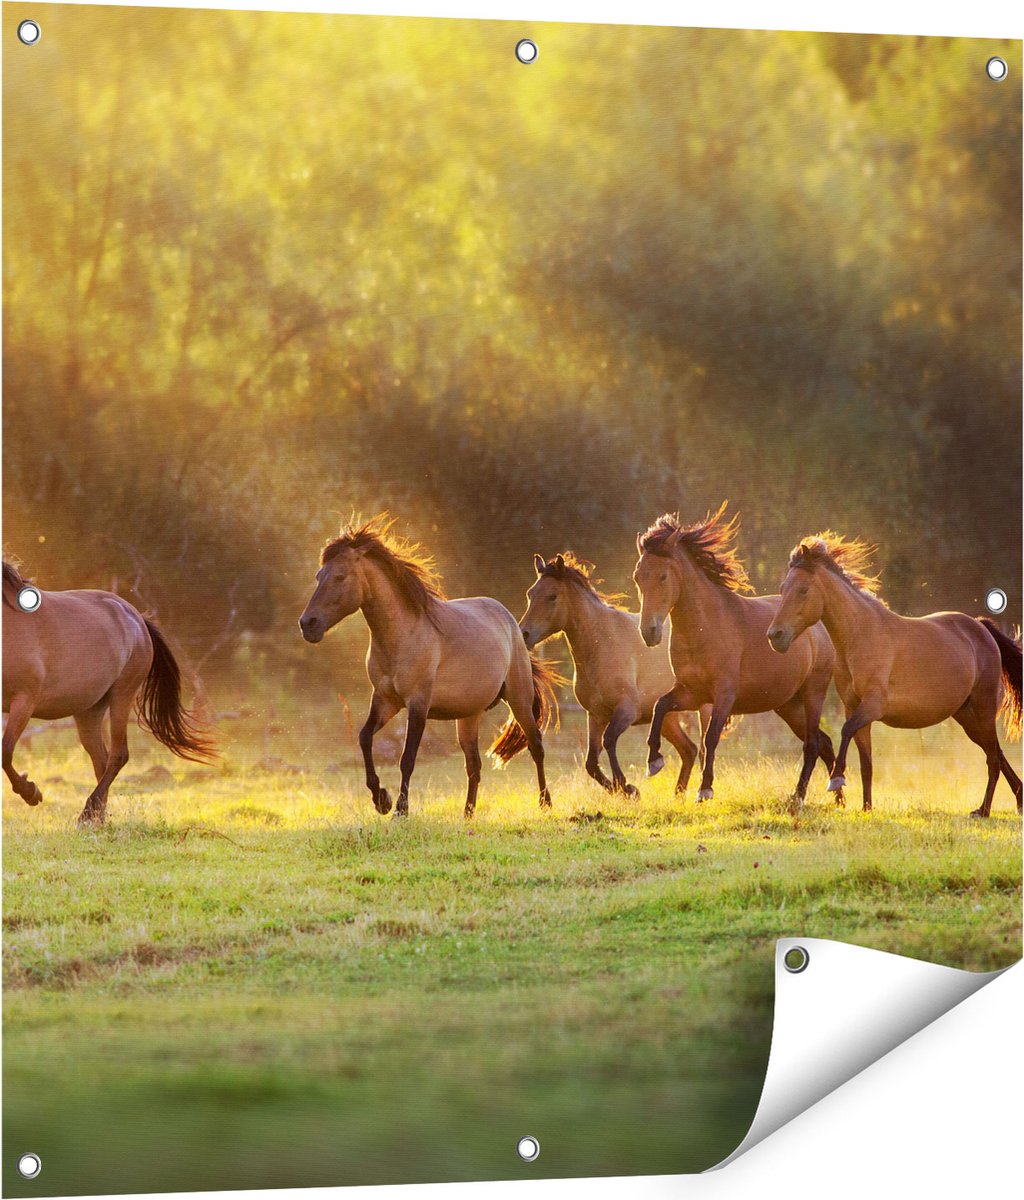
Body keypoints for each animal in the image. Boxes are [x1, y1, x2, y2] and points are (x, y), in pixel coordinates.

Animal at [2, 560, 215, 825]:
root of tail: (137, 618)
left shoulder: (24, 701)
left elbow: (5, 752)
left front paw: (31, 792)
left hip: (121, 696)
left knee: (118, 755)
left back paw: (86, 815)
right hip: (88, 711)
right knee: (100, 760)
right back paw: (98, 818)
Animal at [298, 516, 560, 818]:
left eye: (340, 576)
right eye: (319, 576)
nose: (307, 624)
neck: (402, 635)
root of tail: (512, 623)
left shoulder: (418, 704)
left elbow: (407, 758)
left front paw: (400, 810)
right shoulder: (386, 701)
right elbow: (364, 738)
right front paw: (381, 799)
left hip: (519, 699)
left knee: (536, 746)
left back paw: (545, 803)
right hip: (468, 715)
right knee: (474, 765)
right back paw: (467, 814)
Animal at [520, 552, 715, 797]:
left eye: (552, 596)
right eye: (530, 594)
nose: (524, 633)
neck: (602, 643)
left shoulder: (626, 710)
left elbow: (609, 740)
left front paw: (627, 786)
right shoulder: (595, 716)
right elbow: (591, 763)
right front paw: (622, 789)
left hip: (704, 709)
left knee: (704, 748)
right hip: (667, 717)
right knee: (689, 750)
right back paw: (678, 794)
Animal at [633, 505, 838, 809]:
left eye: (662, 576)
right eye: (638, 577)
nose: (649, 632)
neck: (704, 628)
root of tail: (820, 628)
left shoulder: (724, 695)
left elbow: (710, 739)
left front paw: (705, 790)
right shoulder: (691, 693)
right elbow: (660, 707)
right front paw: (654, 761)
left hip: (813, 694)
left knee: (812, 744)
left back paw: (800, 797)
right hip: (789, 706)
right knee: (824, 743)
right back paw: (839, 796)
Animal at [767, 535, 1023, 817]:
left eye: (803, 589)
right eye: (782, 589)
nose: (775, 636)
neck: (861, 636)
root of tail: (981, 629)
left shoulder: (872, 706)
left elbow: (845, 731)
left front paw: (836, 779)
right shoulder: (854, 708)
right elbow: (866, 763)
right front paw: (866, 808)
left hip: (983, 712)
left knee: (993, 759)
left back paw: (983, 810)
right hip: (968, 718)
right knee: (997, 753)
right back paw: (1017, 800)